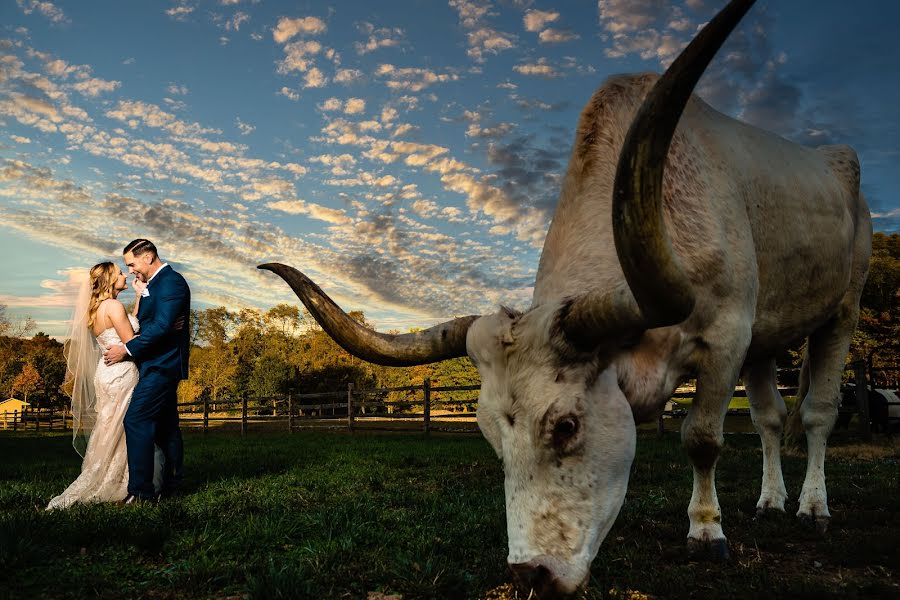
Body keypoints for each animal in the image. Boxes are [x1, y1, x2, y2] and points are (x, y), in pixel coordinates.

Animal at [258, 1, 872, 596]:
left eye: (567, 426)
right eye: (488, 434)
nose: (531, 575)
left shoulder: (727, 338)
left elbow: (701, 438)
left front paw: (706, 532)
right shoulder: (742, 340)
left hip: (841, 310)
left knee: (816, 413)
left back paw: (813, 507)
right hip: (767, 338)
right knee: (769, 419)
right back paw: (770, 502)